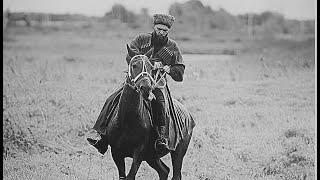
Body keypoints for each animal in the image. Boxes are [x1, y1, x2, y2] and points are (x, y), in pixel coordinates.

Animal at [106, 46, 194, 180]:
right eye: (134, 65)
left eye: (150, 68)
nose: (146, 89)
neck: (127, 120)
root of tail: (188, 115)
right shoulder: (116, 153)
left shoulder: (139, 153)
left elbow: (131, 175)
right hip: (152, 157)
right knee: (164, 171)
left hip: (178, 153)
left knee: (176, 173)